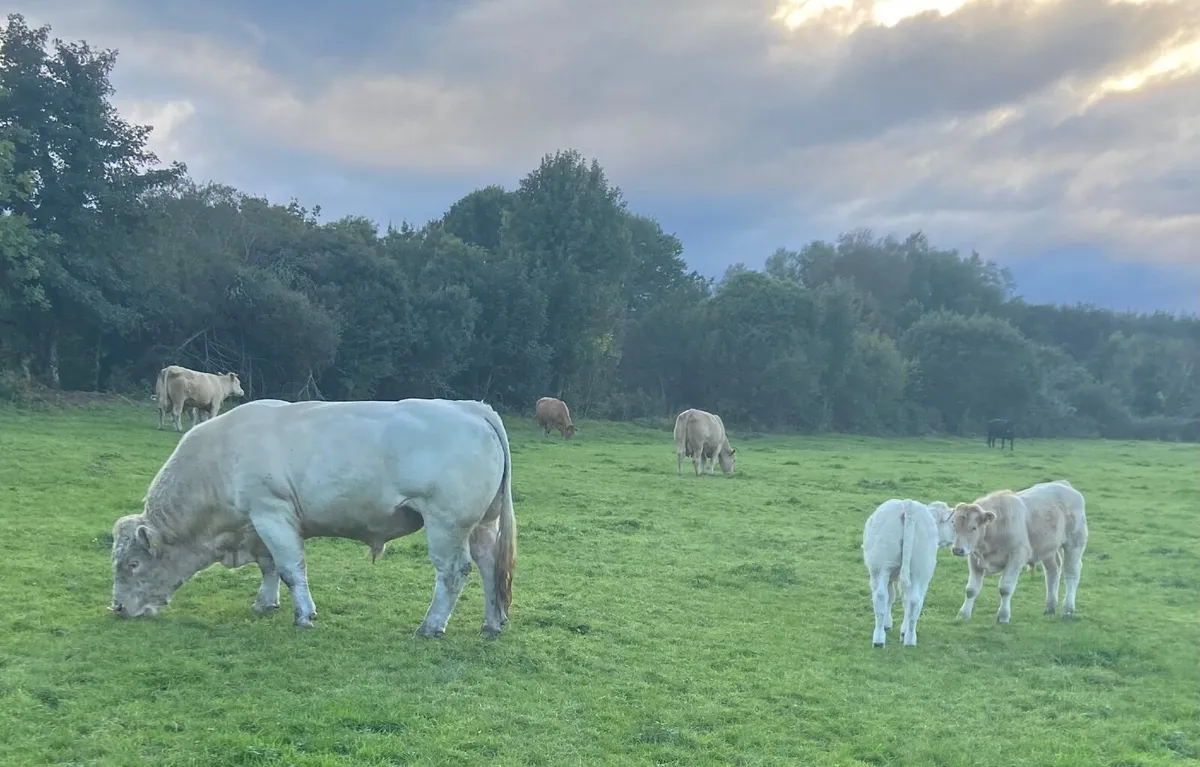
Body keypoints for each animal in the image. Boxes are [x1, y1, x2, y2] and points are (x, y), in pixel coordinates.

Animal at [110, 397, 518, 639]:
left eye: (132, 564)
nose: (116, 608)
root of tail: (471, 407)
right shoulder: (258, 522)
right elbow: (269, 567)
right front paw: (266, 603)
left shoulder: (271, 512)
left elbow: (290, 568)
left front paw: (303, 615)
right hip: (483, 523)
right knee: (487, 567)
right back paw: (491, 623)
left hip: (446, 523)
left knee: (453, 572)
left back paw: (431, 626)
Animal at [862, 499, 956, 648]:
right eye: (952, 521)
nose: (954, 542)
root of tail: (908, 505)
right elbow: (897, 598)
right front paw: (899, 629)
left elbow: (892, 596)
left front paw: (890, 625)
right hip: (918, 568)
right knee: (913, 600)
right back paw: (909, 639)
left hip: (882, 566)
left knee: (882, 596)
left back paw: (880, 638)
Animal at [950, 479, 1087, 624]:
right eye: (954, 525)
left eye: (974, 528)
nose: (957, 550)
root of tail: (1064, 484)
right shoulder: (974, 558)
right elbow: (971, 589)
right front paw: (963, 614)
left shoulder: (1017, 556)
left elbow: (1005, 588)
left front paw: (1003, 616)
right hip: (1047, 547)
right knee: (1053, 571)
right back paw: (1050, 607)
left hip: (1075, 542)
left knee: (1072, 573)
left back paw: (1068, 609)